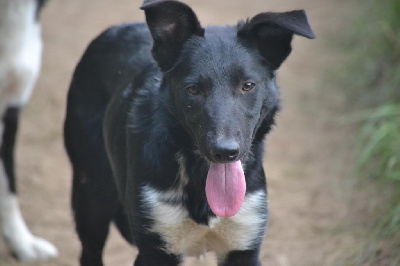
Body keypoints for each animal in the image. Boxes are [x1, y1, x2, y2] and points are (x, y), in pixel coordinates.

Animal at [64, 1, 316, 264]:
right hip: (93, 196)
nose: (225, 152)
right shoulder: (154, 251)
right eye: (193, 89)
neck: (198, 174)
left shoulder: (244, 246)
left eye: (247, 86)